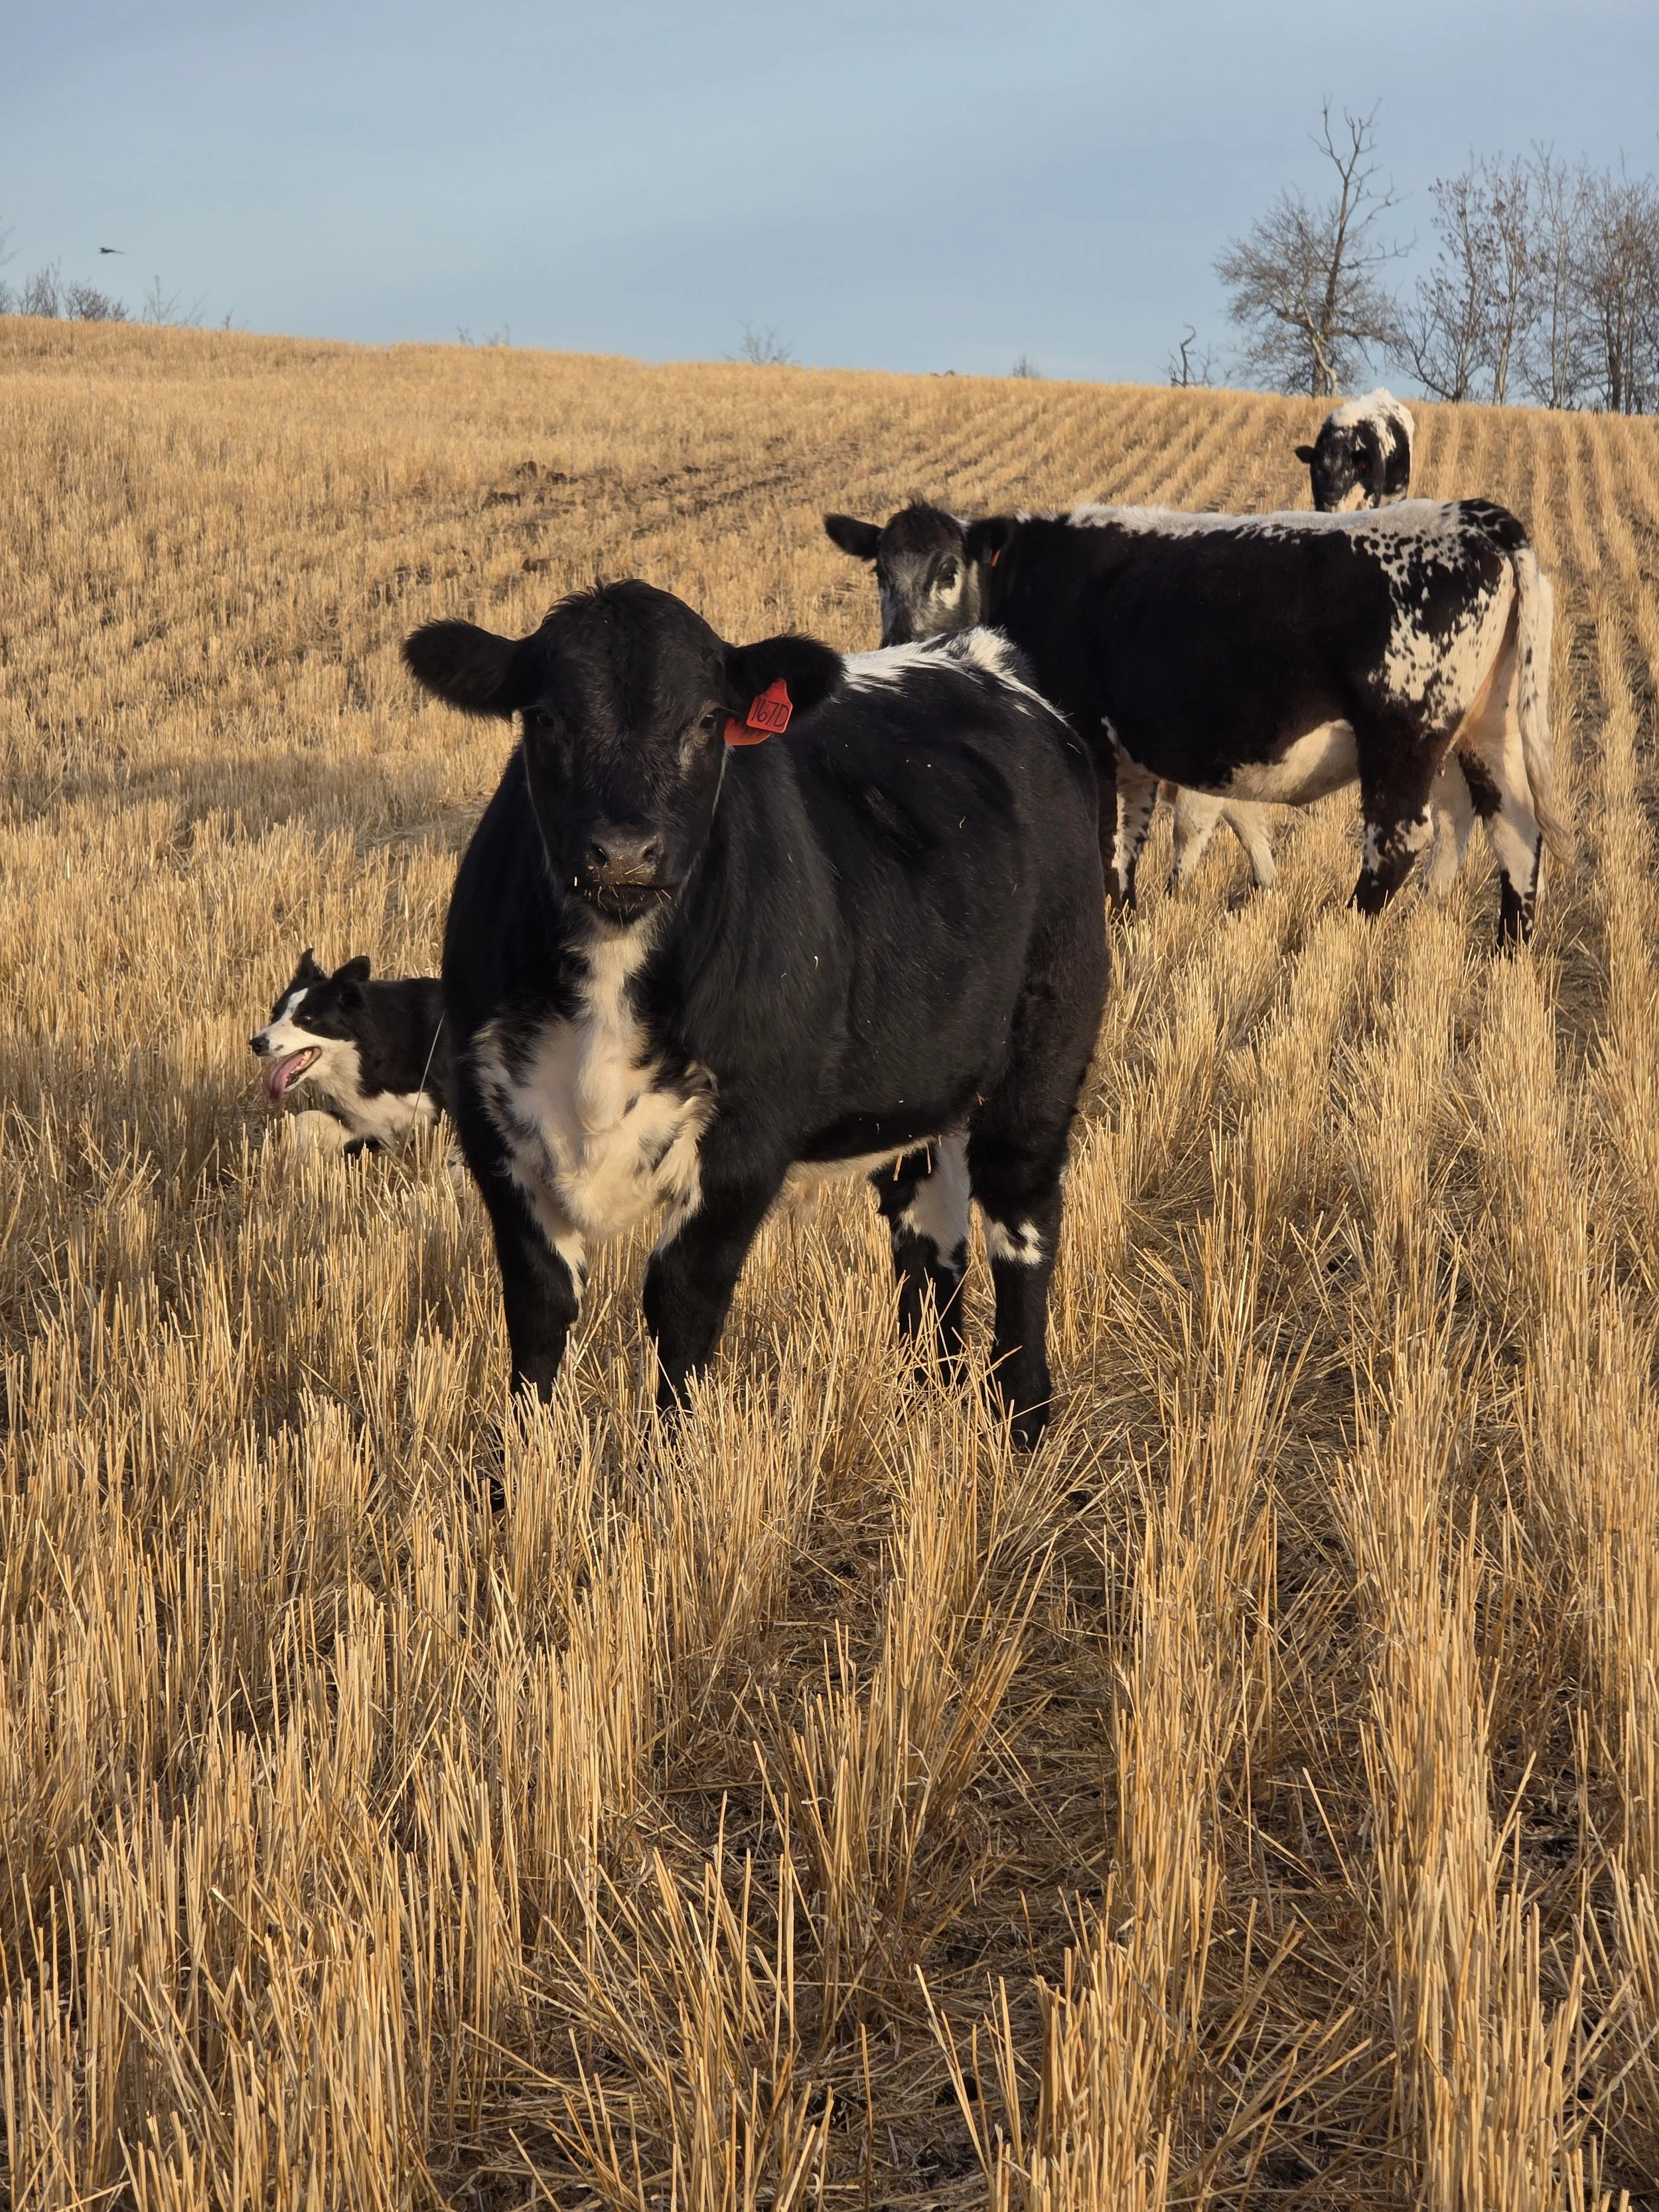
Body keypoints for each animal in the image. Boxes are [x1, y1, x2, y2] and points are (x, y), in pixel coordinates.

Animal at [402, 582, 1107, 1448]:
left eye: (708, 720)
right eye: (544, 718)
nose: (624, 853)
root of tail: (973, 655)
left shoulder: (746, 1140)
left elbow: (681, 1309)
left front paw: (667, 1471)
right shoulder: (491, 1124)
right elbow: (538, 1312)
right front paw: (519, 1475)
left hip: (1047, 1044)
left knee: (1021, 1216)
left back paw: (1023, 1421)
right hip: (921, 1085)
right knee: (927, 1232)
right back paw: (924, 1398)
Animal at [1295, 389, 1415, 511]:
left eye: (1347, 467)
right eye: (1319, 466)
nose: (1332, 497)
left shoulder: (1373, 493)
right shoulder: (1318, 496)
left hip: (1399, 491)